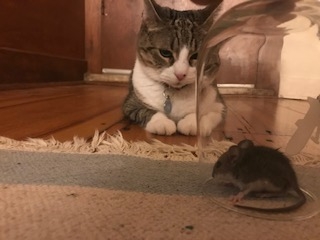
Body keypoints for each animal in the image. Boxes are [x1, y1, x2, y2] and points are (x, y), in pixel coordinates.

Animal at [122, 0, 225, 136]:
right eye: (165, 53)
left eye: (196, 56)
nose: (180, 74)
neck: (177, 92)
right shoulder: (130, 103)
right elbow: (144, 110)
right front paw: (161, 122)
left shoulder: (218, 106)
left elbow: (207, 115)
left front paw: (191, 122)